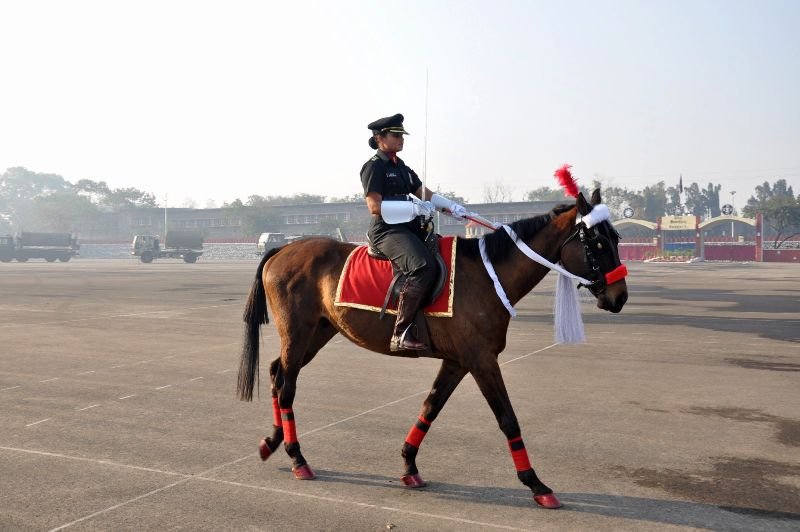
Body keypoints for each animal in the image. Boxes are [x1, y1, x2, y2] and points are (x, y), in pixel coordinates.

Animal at [238, 189, 632, 510]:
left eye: (616, 238)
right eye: (598, 244)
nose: (619, 296)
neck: (488, 276)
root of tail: (283, 248)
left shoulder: (458, 361)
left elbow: (431, 406)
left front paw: (409, 464)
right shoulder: (481, 361)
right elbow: (507, 418)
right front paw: (536, 484)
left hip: (318, 332)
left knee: (276, 373)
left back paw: (273, 441)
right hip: (297, 332)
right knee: (286, 387)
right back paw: (297, 458)